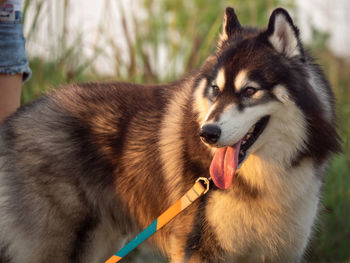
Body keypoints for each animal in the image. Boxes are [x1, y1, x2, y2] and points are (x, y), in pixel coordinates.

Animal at [0, 6, 340, 263]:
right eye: (215, 89)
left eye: (250, 91)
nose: (208, 133)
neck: (262, 181)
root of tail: (15, 120)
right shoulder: (199, 250)